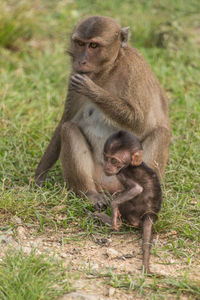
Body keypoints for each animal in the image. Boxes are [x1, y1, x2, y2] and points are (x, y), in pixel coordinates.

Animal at [34, 15, 170, 209]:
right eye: (80, 43)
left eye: (93, 46)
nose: (81, 61)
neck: (109, 70)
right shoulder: (73, 76)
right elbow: (64, 122)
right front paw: (39, 177)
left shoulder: (135, 71)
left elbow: (139, 122)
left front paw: (92, 90)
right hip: (98, 176)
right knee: (68, 130)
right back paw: (90, 194)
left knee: (161, 133)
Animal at [99, 130, 162, 274]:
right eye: (105, 158)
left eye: (113, 160)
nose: (106, 167)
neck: (131, 165)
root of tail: (149, 214)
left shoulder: (122, 172)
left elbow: (136, 189)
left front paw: (114, 209)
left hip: (133, 212)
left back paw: (109, 220)